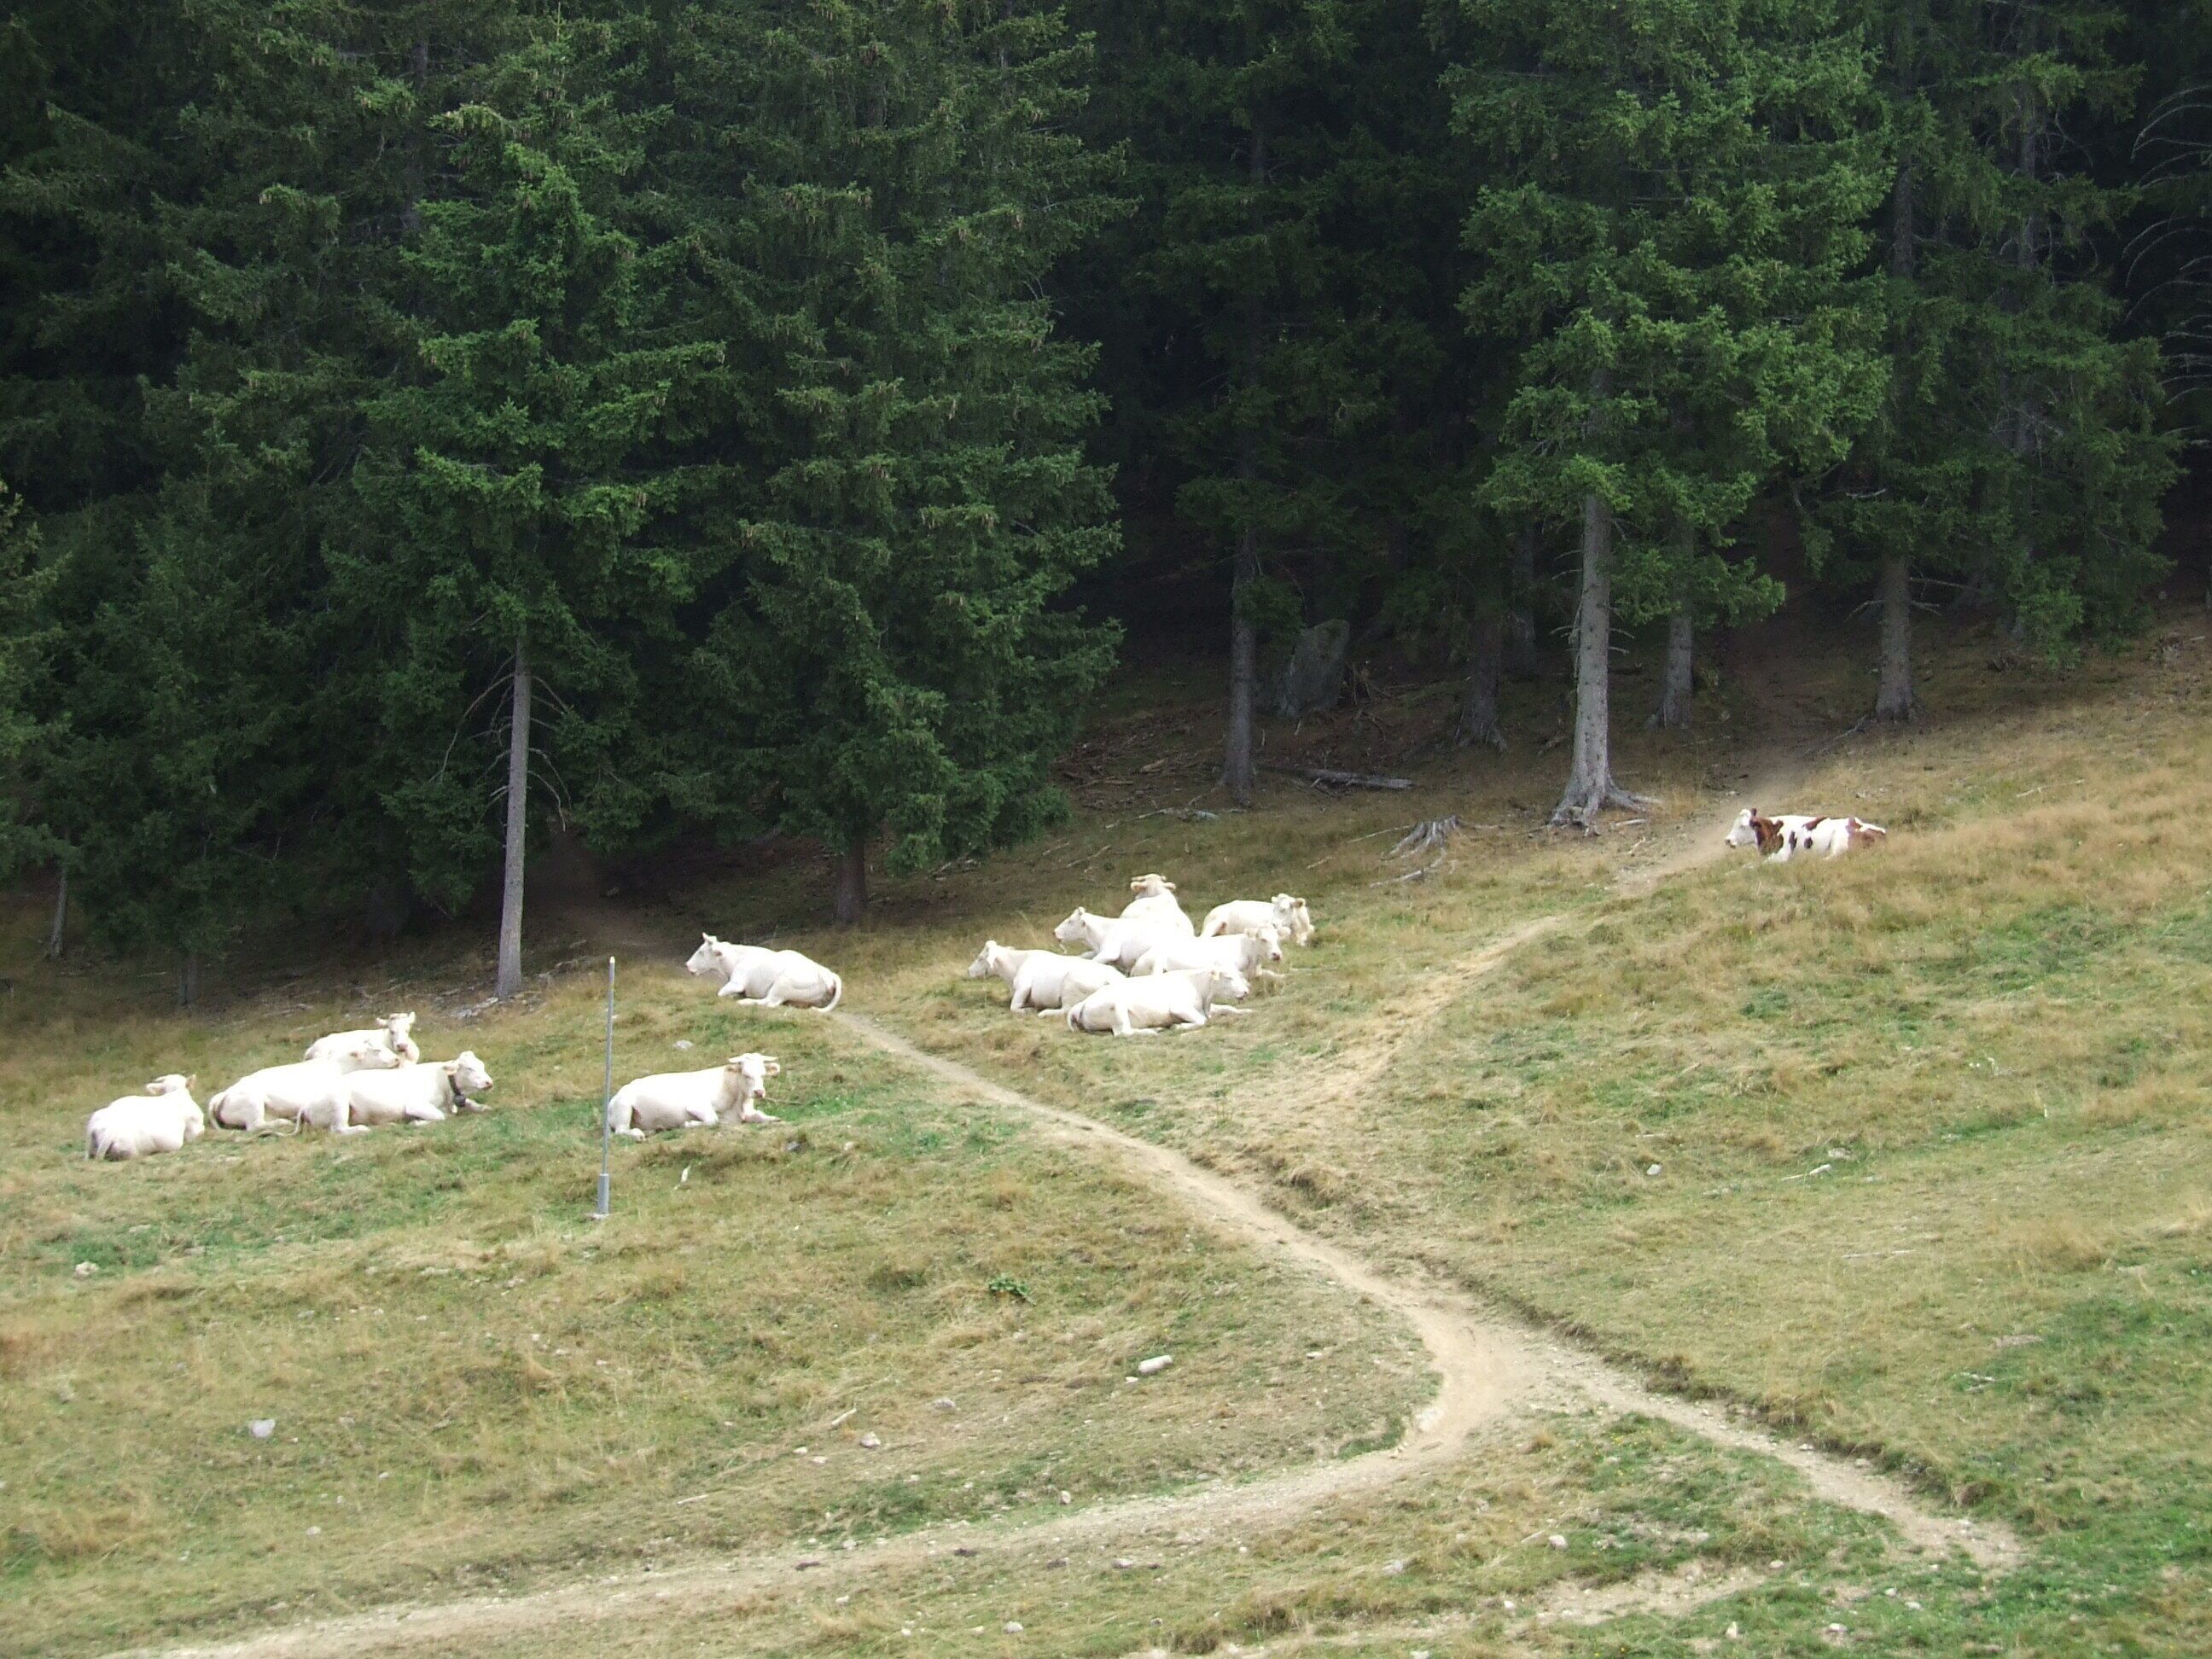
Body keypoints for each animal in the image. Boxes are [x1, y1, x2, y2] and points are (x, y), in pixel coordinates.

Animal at [343, 1052, 494, 1128]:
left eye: (482, 1065)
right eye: (469, 1068)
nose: (489, 1082)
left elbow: (471, 1103)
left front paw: (484, 1107)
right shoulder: (415, 1105)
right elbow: (441, 1116)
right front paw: (417, 1122)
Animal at [606, 1054, 781, 1139]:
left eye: (763, 1074)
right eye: (746, 1074)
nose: (759, 1092)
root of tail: (613, 1099)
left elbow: (762, 1116)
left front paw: (776, 1119)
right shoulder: (697, 1105)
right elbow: (713, 1120)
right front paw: (689, 1124)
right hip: (624, 1108)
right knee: (621, 1131)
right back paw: (638, 1134)